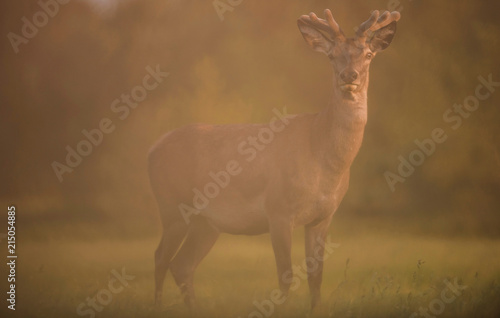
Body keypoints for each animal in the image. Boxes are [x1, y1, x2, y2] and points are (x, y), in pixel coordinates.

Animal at [147, 8, 398, 310]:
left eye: (369, 54)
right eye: (332, 55)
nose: (350, 75)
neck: (322, 157)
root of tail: (151, 150)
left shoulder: (323, 216)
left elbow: (316, 277)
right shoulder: (278, 209)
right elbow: (285, 275)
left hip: (206, 223)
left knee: (182, 265)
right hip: (172, 205)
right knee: (161, 257)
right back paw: (157, 307)